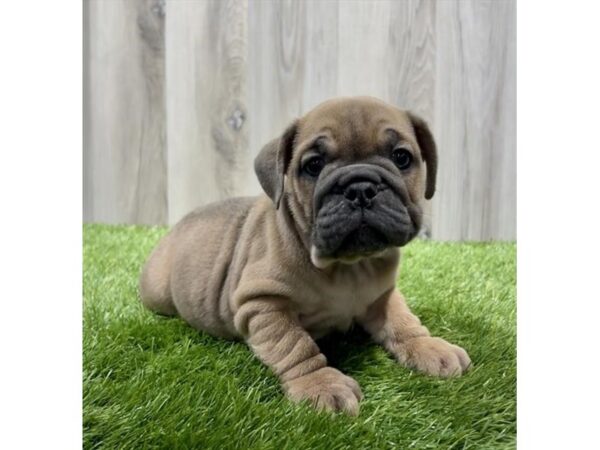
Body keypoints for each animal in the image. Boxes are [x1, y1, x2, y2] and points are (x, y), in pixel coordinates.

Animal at [139, 96, 468, 416]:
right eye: (314, 165)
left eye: (401, 157)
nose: (360, 188)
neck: (349, 266)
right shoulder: (263, 304)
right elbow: (295, 344)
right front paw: (319, 384)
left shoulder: (383, 295)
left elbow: (403, 320)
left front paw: (428, 346)